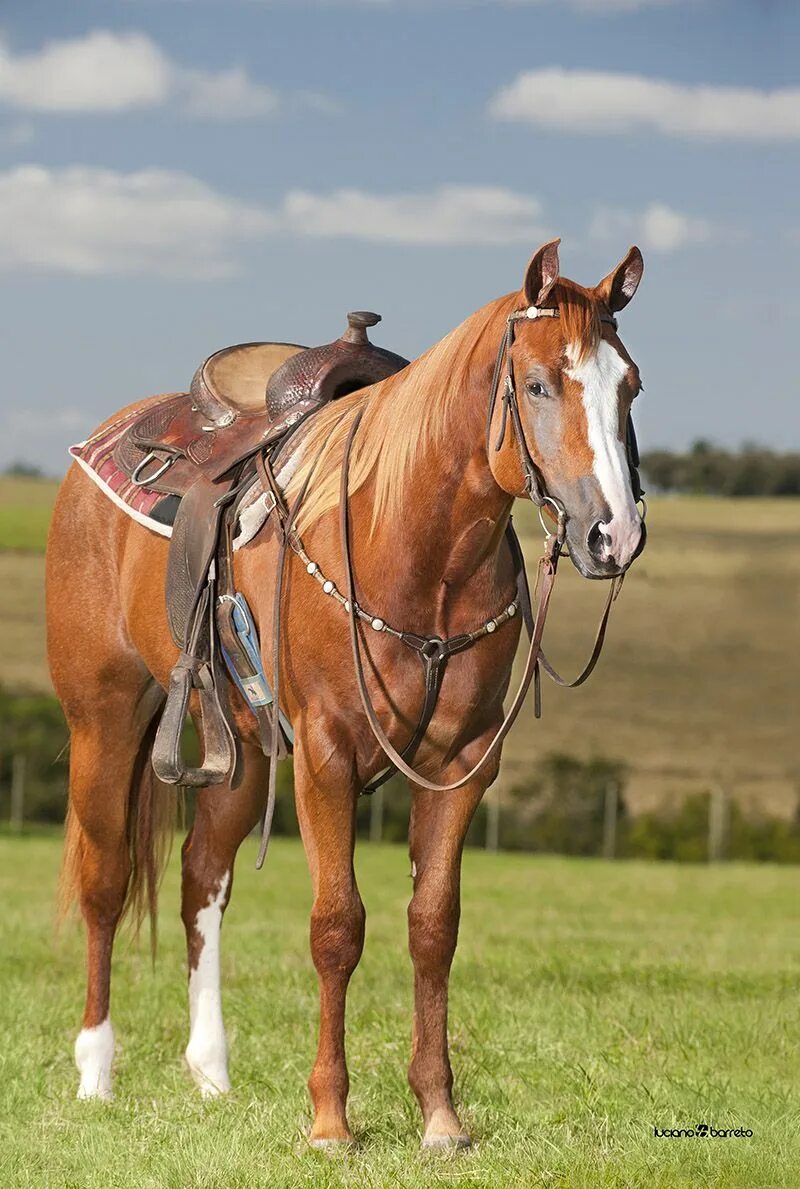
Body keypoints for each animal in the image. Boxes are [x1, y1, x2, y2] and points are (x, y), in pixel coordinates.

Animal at [43, 236, 646, 1146]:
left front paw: (440, 1116)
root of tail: (93, 453)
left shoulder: (465, 764)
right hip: (104, 719)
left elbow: (433, 926)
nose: (615, 533)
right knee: (106, 880)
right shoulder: (324, 753)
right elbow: (337, 926)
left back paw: (210, 1072)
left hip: (240, 747)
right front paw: (330, 1119)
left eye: (630, 384)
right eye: (539, 383)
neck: (418, 542)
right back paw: (94, 1072)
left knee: (201, 876)